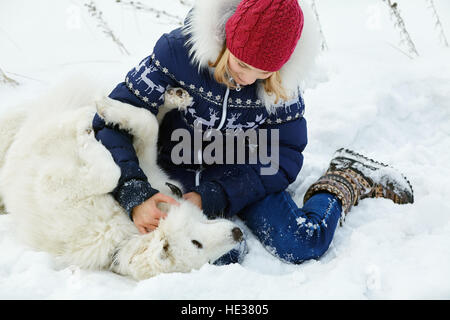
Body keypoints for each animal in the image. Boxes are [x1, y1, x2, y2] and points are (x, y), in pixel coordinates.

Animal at [0, 77, 243, 280]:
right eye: (197, 243)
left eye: (209, 260)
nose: (238, 233)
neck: (126, 224)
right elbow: (145, 129)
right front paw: (98, 120)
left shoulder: (53, 183)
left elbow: (122, 161)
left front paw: (89, 135)